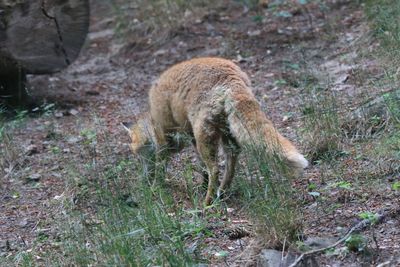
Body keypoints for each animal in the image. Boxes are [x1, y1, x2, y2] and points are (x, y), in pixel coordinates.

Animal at [123, 57, 308, 206]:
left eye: (138, 155)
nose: (142, 179)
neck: (153, 120)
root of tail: (231, 76)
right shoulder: (191, 138)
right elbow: (201, 168)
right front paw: (201, 185)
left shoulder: (164, 138)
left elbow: (161, 167)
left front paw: (155, 187)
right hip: (225, 135)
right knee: (230, 163)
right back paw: (222, 192)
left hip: (204, 135)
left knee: (215, 169)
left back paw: (207, 202)